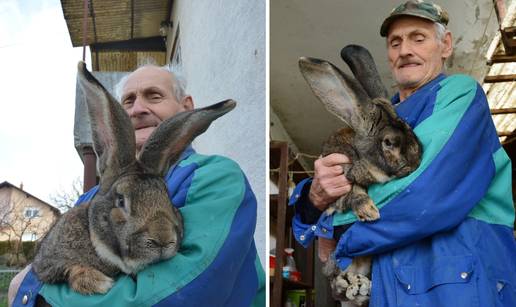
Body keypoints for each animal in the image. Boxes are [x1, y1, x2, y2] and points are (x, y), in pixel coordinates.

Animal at [298, 44, 424, 306]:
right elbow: (352, 192)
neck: (360, 155)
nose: (416, 162)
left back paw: (361, 287)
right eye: (389, 142)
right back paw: (351, 285)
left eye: (411, 129)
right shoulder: (339, 181)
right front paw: (369, 211)